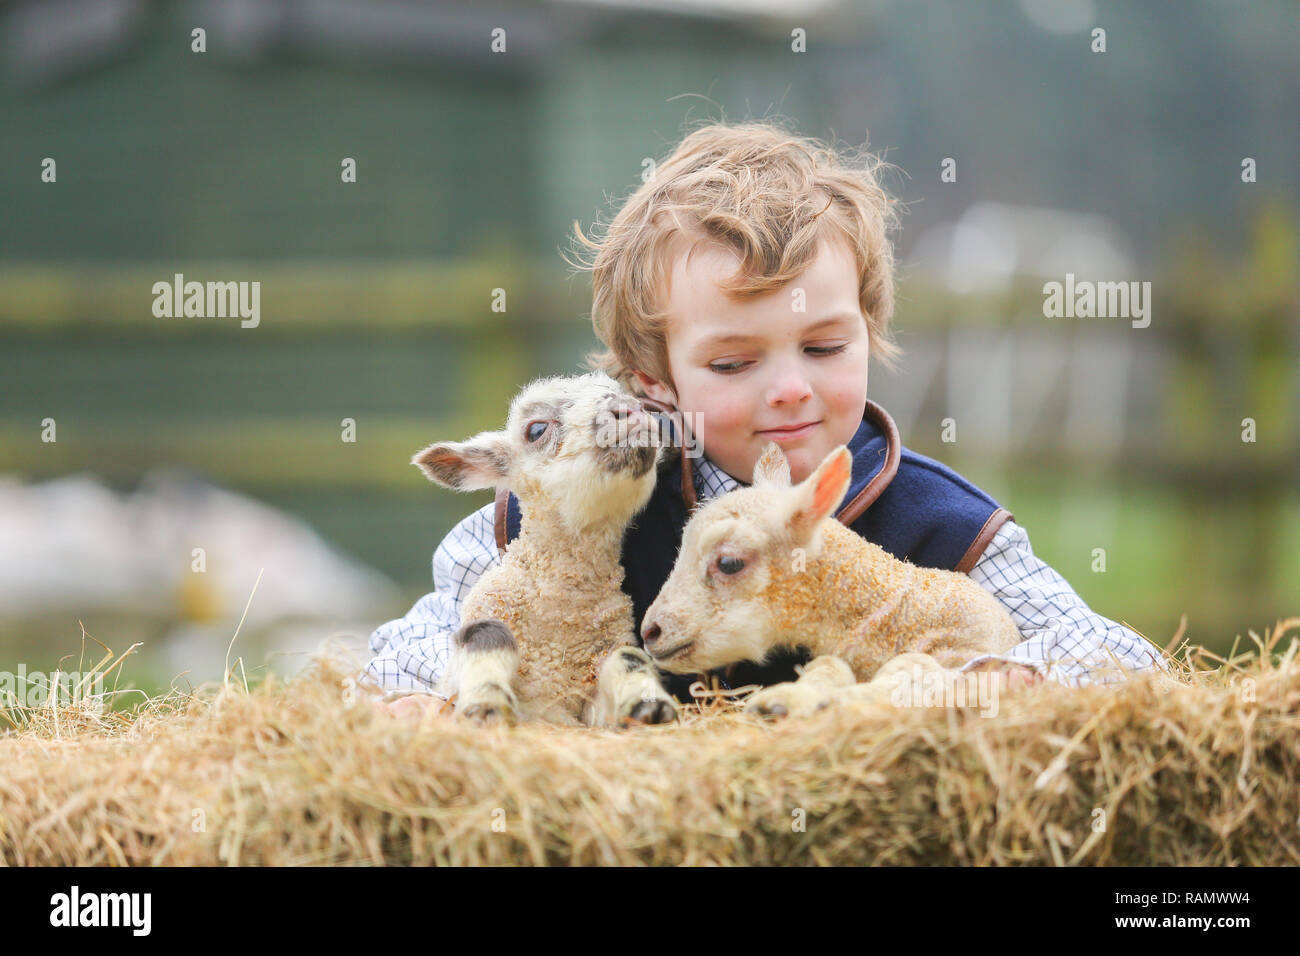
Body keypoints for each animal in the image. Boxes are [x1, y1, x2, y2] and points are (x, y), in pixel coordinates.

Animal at [413, 371, 681, 723]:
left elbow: (628, 658)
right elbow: (488, 637)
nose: (628, 410)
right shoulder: (486, 615)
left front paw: (648, 707)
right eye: (536, 430)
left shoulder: (599, 667)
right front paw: (485, 705)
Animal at [639, 444, 1024, 712]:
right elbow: (828, 666)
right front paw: (790, 699)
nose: (650, 631)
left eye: (730, 562)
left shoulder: (967, 649)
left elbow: (913, 668)